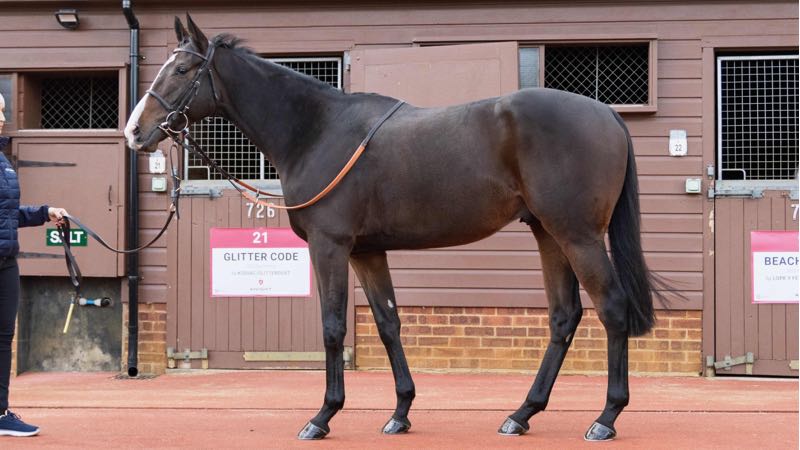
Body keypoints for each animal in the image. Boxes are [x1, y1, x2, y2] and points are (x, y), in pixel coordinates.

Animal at [125, 15, 665, 442]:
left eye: (181, 69)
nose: (134, 131)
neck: (316, 130)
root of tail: (607, 114)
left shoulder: (330, 246)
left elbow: (333, 327)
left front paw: (323, 416)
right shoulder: (367, 252)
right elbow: (387, 323)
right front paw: (401, 411)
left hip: (578, 236)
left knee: (612, 309)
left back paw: (606, 418)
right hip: (548, 233)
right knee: (563, 317)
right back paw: (522, 413)